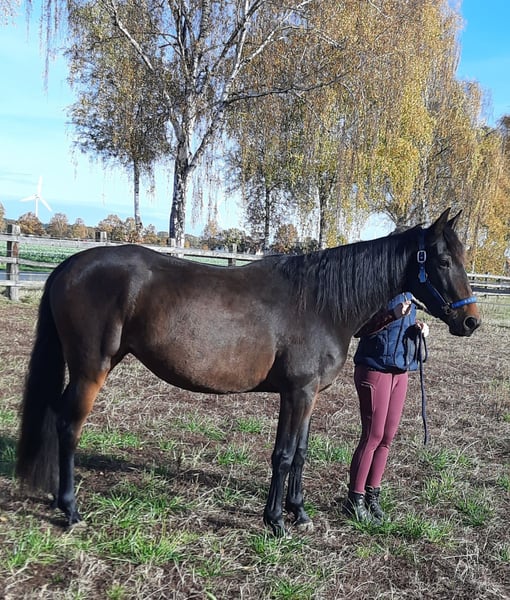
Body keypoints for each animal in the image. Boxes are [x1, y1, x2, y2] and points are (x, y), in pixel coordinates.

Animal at [15, 208, 480, 536]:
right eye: (441, 259)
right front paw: (275, 521)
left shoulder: (306, 395)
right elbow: (284, 454)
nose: (471, 321)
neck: (320, 303)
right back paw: (70, 508)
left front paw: (299, 512)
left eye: (462, 256)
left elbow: (300, 452)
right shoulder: (297, 393)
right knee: (68, 426)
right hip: (91, 369)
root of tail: (70, 265)